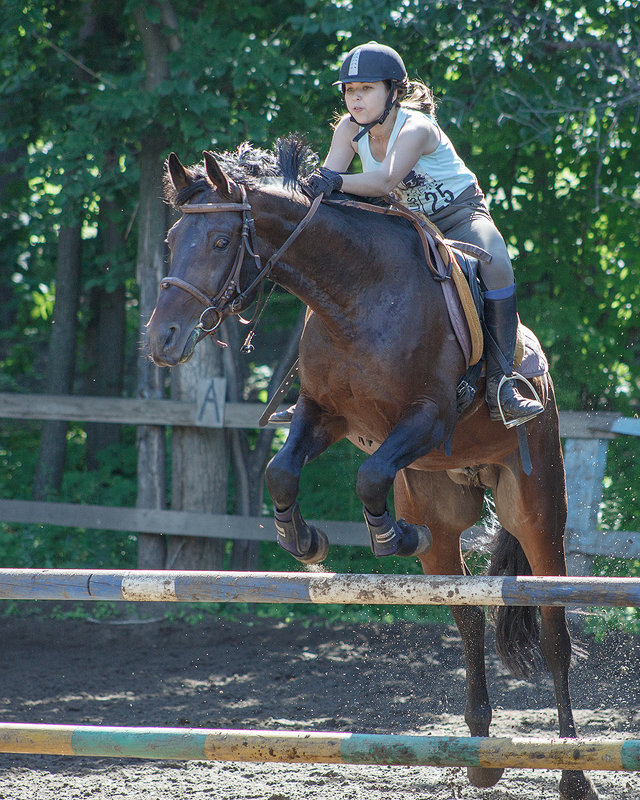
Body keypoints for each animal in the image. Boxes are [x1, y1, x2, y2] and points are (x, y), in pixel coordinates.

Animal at [148, 139, 596, 800]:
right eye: (175, 237)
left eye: (221, 242)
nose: (163, 341)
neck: (351, 296)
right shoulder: (322, 413)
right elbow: (281, 471)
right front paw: (304, 539)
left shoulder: (427, 420)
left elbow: (367, 477)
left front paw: (388, 536)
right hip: (442, 511)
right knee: (466, 616)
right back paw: (480, 757)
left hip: (537, 506)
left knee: (554, 632)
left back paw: (573, 773)